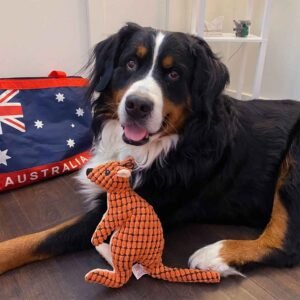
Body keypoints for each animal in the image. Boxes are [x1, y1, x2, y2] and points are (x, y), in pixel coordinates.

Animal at [0, 22, 300, 278]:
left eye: (174, 74)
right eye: (131, 63)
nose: (137, 105)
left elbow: (41, 238)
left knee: (285, 245)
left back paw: (213, 255)